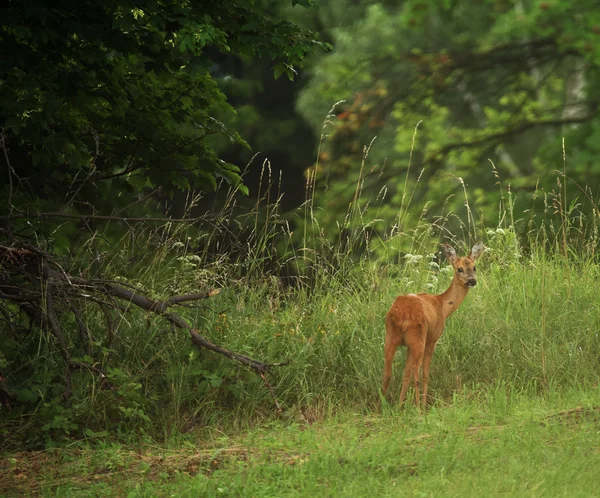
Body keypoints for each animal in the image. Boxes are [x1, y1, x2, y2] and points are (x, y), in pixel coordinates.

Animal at [380, 241, 488, 408]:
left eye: (474, 267)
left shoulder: (408, 346)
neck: (442, 306)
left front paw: (399, 406)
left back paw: (379, 409)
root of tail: (402, 315)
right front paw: (422, 405)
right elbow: (425, 374)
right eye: (460, 269)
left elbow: (405, 374)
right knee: (417, 372)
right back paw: (419, 408)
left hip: (391, 336)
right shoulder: (433, 339)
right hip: (419, 337)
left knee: (387, 373)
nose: (472, 280)